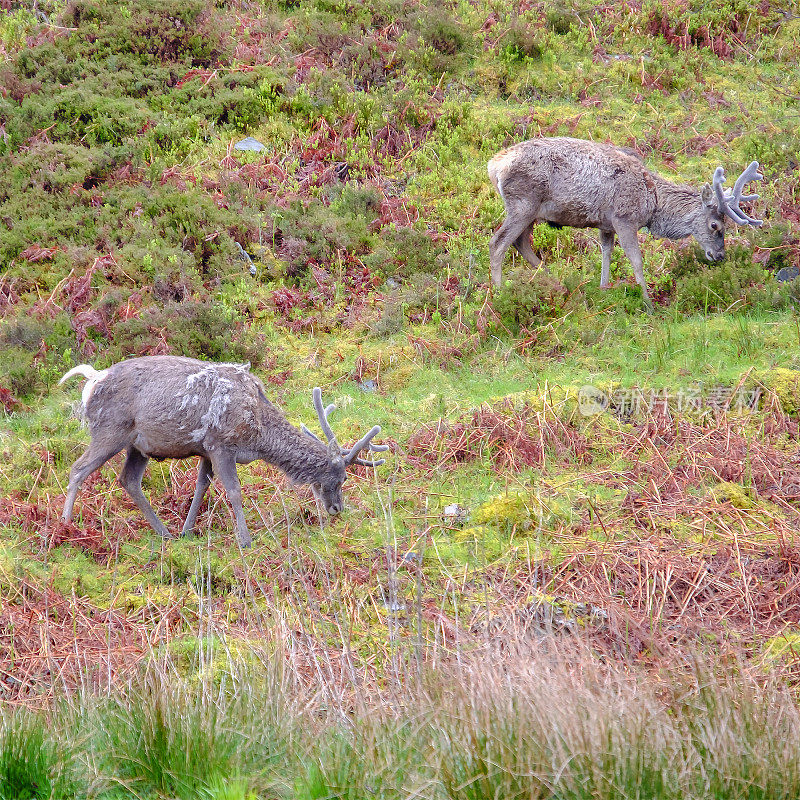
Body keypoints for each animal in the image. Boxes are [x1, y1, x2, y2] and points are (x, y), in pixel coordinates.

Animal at [57, 358, 390, 552]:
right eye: (341, 477)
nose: (336, 509)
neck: (257, 434)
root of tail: (91, 380)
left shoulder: (206, 450)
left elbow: (201, 486)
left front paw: (187, 530)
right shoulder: (221, 445)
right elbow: (233, 491)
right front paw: (245, 540)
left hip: (138, 446)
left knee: (128, 480)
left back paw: (165, 533)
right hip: (109, 431)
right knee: (77, 469)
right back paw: (65, 527)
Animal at [488, 136, 764, 310]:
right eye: (715, 226)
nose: (720, 255)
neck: (652, 203)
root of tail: (494, 165)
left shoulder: (605, 224)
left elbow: (606, 252)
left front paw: (603, 288)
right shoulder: (624, 218)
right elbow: (636, 260)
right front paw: (649, 303)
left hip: (532, 212)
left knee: (520, 244)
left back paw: (555, 281)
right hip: (523, 204)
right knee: (497, 243)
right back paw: (501, 295)